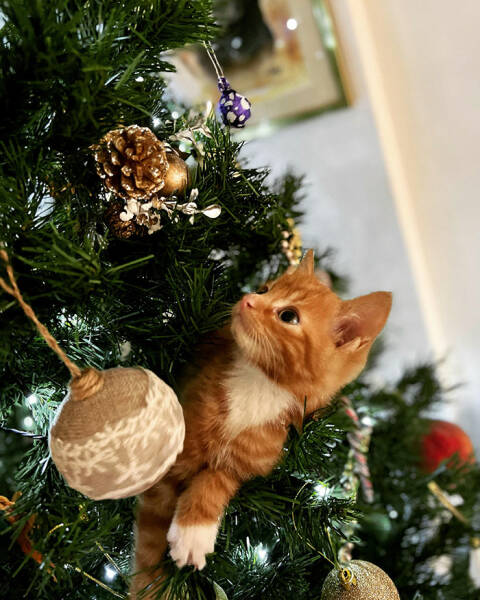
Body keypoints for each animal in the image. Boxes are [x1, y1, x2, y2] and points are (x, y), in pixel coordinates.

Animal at [130, 251, 390, 596]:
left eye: (289, 316)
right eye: (265, 288)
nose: (248, 299)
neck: (259, 386)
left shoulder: (251, 458)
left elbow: (217, 481)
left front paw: (193, 533)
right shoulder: (183, 437)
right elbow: (148, 546)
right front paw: (148, 587)